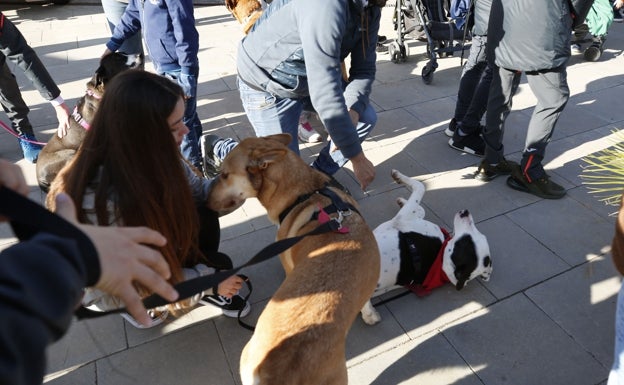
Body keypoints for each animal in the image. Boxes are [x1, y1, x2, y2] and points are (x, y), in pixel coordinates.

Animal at [207, 133, 378, 384]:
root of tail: (278, 369)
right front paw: (370, 314)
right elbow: (366, 299)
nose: (205, 202)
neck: (305, 191)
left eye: (224, 174)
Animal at [360, 170, 492, 322]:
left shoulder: (400, 220)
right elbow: (421, 208)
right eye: (471, 239)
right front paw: (402, 201)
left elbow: (419, 186)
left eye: (466, 241)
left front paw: (398, 177)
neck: (440, 257)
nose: (466, 212)